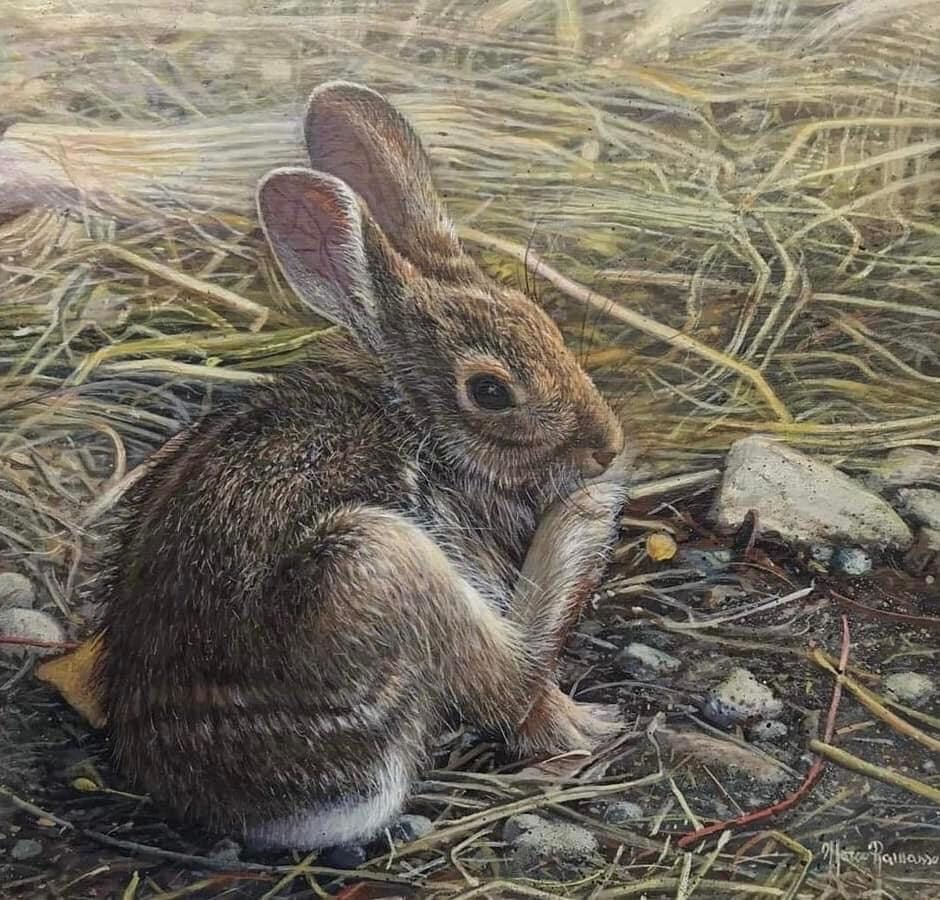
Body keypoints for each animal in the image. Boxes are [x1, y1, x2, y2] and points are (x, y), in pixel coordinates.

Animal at [94, 81, 634, 851]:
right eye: (489, 392)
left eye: (547, 325)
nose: (606, 446)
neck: (417, 421)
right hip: (377, 559)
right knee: (511, 682)